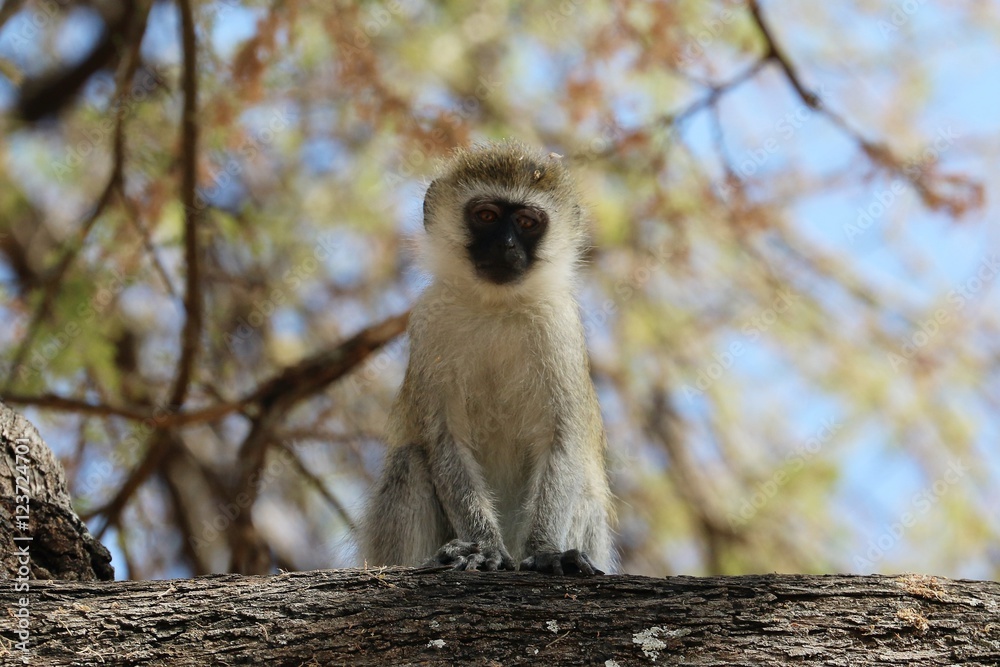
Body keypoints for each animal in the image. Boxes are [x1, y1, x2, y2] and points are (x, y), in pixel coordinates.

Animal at [358, 140, 614, 576]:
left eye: (527, 222)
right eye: (486, 216)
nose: (506, 246)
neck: (497, 305)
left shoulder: (559, 328)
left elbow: (562, 440)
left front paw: (547, 550)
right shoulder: (430, 324)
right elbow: (444, 438)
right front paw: (483, 545)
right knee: (410, 462)